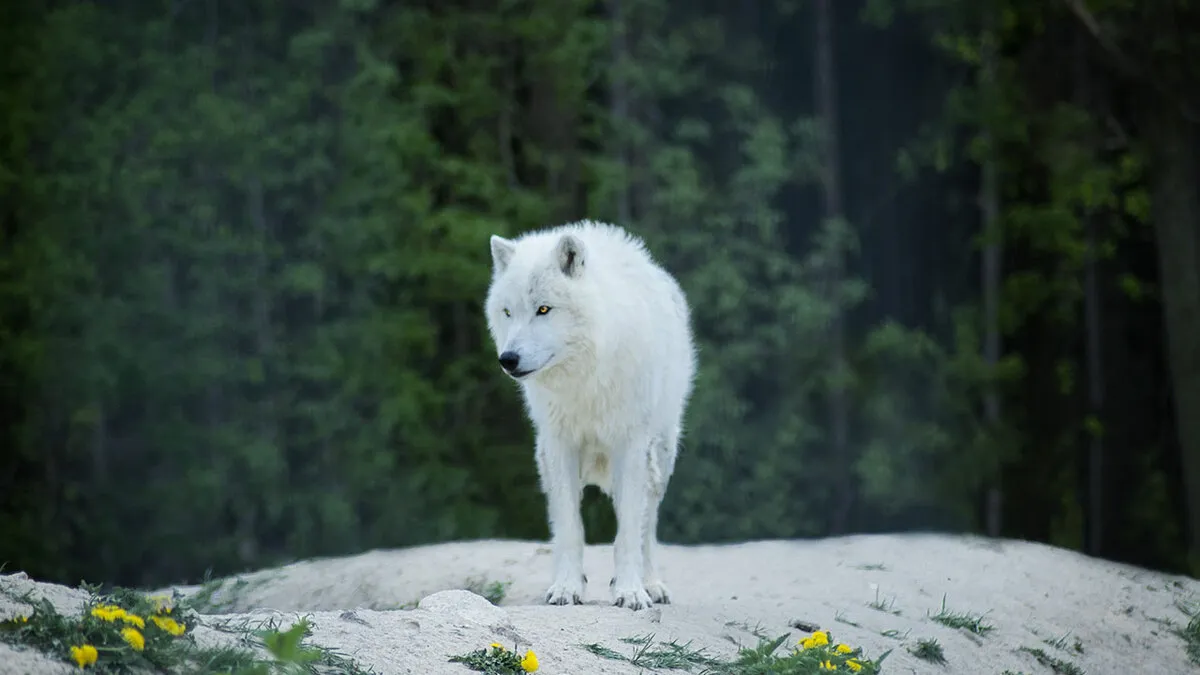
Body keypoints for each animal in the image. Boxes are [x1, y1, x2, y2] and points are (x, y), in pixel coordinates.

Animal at [484, 220, 697, 611]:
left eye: (543, 309)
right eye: (507, 312)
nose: (508, 359)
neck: (583, 377)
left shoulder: (630, 444)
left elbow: (628, 531)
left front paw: (630, 591)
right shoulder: (560, 445)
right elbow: (570, 528)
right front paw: (567, 588)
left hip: (660, 457)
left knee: (648, 525)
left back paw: (652, 584)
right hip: (546, 459)